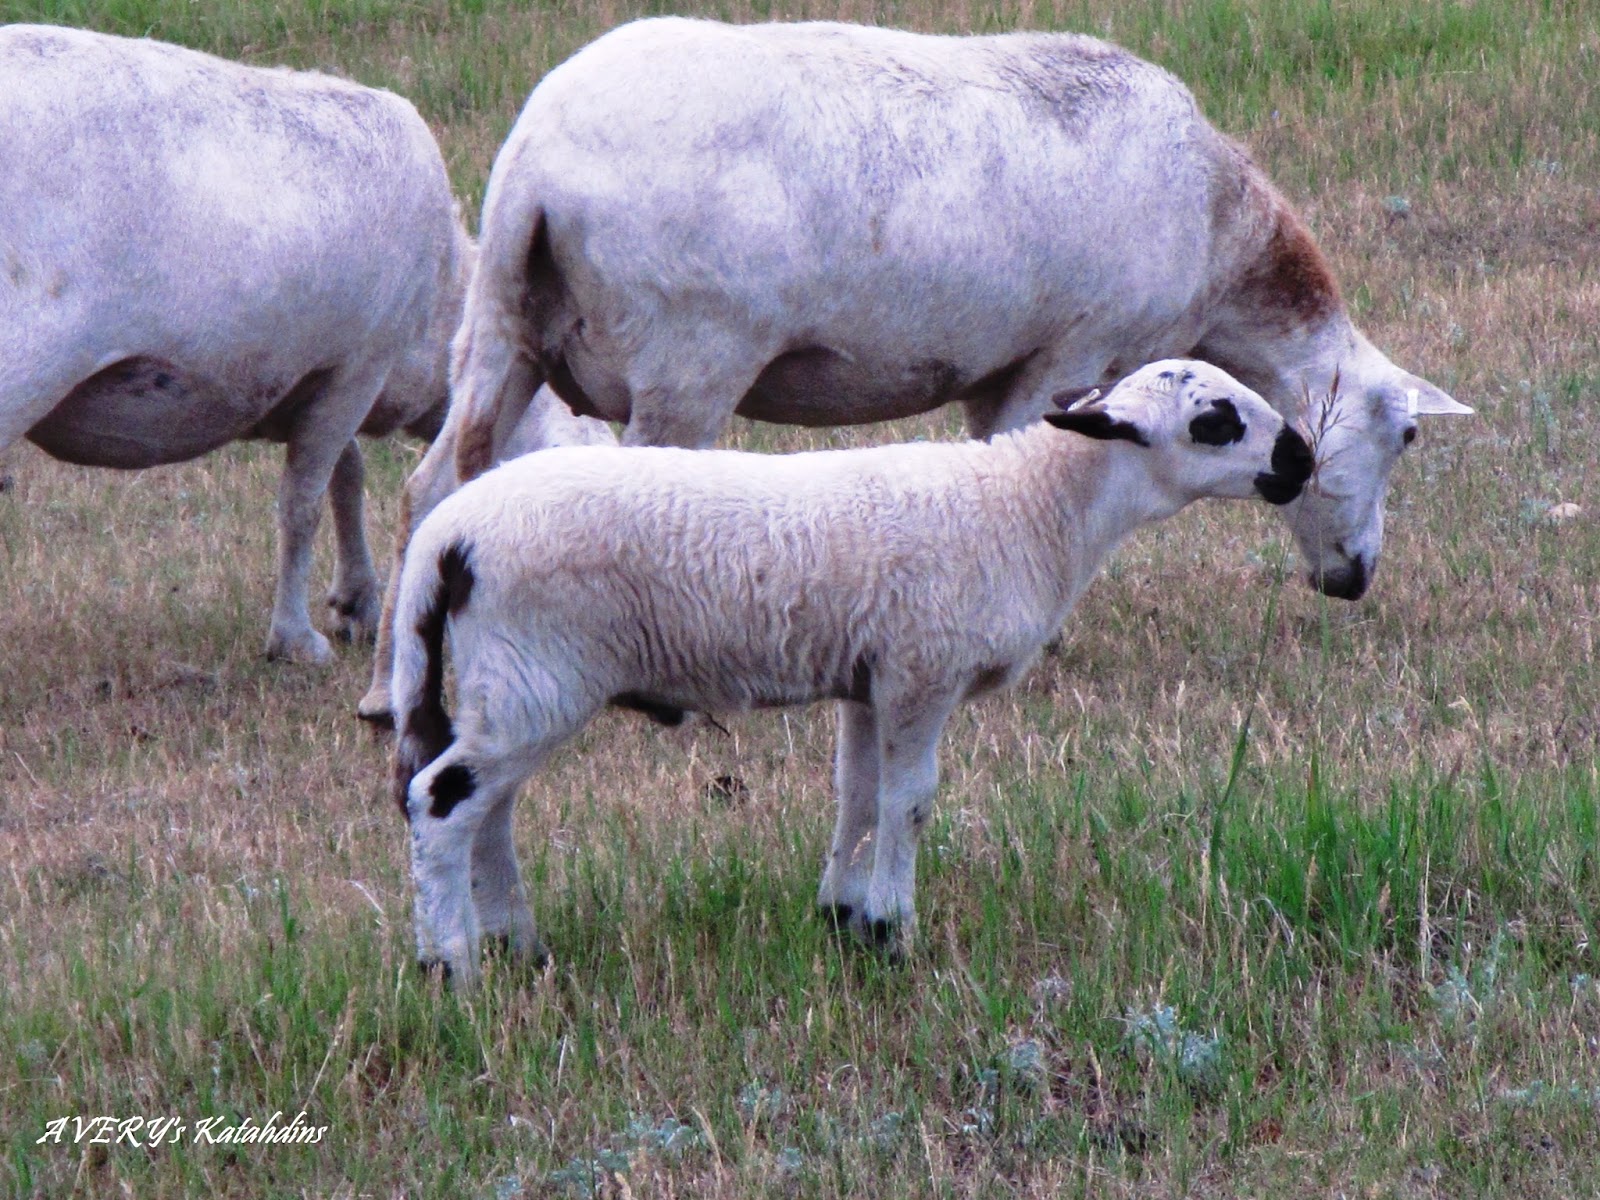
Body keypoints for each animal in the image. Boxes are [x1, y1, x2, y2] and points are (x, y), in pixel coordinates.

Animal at [0, 24, 476, 663]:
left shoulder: (317, 375)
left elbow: (345, 477)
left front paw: (356, 602)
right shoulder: (360, 362)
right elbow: (302, 503)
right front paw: (295, 641)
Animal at [389, 360, 1315, 983]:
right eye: (1216, 421)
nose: (1302, 458)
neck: (1030, 507)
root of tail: (446, 539)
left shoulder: (873, 676)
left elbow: (859, 796)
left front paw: (844, 919)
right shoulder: (922, 669)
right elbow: (910, 803)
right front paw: (896, 933)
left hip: (509, 684)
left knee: (489, 812)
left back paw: (519, 947)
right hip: (536, 673)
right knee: (441, 803)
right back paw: (452, 966)